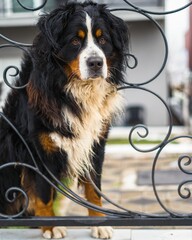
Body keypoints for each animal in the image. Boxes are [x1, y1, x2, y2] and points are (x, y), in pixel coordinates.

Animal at [0, 0, 129, 239]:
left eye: (103, 40)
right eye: (75, 41)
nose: (96, 63)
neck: (73, 89)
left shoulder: (95, 144)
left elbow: (94, 189)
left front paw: (99, 224)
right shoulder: (38, 150)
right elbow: (44, 194)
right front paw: (51, 226)